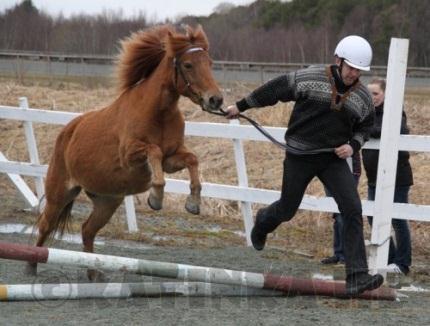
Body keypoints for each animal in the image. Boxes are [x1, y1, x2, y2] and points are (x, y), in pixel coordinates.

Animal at [26, 24, 225, 280]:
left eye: (209, 62)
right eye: (188, 65)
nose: (215, 99)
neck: (158, 112)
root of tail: (68, 131)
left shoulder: (172, 159)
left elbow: (192, 159)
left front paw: (193, 202)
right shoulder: (131, 156)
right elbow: (154, 152)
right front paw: (156, 197)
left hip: (107, 201)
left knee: (87, 230)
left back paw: (94, 274)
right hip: (60, 194)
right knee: (46, 225)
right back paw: (32, 265)